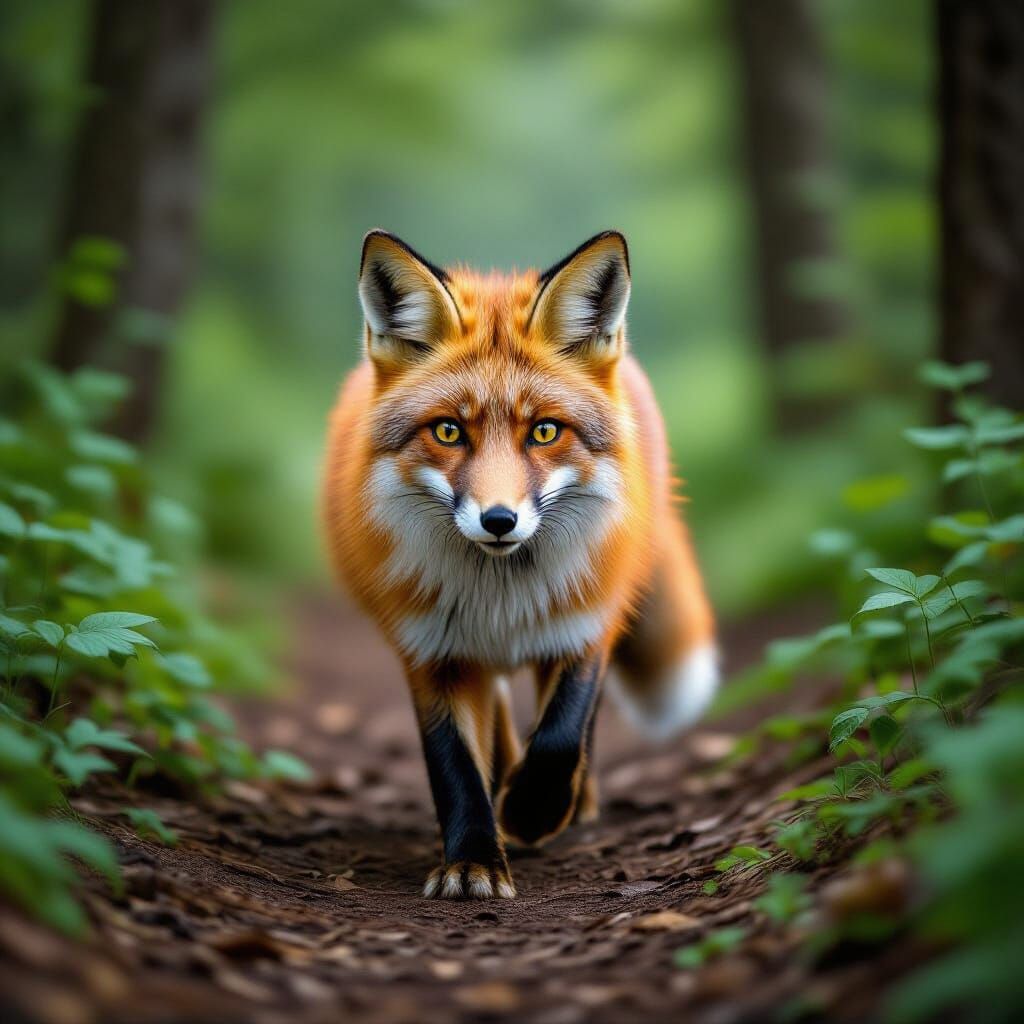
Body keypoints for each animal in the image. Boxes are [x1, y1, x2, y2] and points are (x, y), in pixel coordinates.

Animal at [323, 229, 717, 900]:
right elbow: (454, 767)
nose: (499, 520)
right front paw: (474, 860)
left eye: (545, 432)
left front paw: (533, 811)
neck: (499, 595)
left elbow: (561, 734)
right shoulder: (430, 649)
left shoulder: (587, 622)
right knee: (502, 716)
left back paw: (574, 802)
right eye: (448, 432)